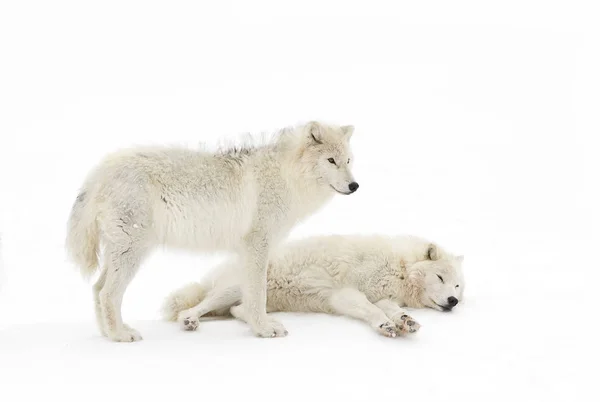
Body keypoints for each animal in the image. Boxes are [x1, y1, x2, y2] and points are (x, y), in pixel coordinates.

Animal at [67, 121, 356, 340]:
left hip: (120, 252)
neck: (286, 175)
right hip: (133, 251)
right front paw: (264, 329)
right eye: (331, 160)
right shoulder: (257, 246)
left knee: (97, 289)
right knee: (107, 293)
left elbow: (248, 293)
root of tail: (100, 171)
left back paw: (107, 334)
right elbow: (258, 294)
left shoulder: (248, 253)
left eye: (349, 161)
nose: (355, 186)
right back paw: (120, 336)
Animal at [161, 234, 464, 338]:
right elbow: (373, 312)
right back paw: (189, 320)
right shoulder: (344, 295)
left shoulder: (382, 296)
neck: (399, 268)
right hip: (232, 289)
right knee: (194, 307)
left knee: (239, 311)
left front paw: (405, 321)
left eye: (458, 286)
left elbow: (392, 310)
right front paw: (385, 325)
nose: (454, 301)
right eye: (441, 278)